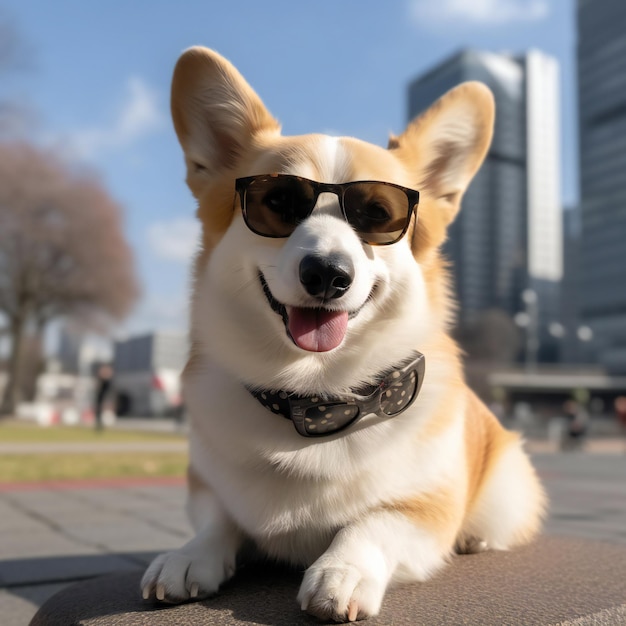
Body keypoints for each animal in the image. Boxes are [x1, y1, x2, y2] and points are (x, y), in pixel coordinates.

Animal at [140, 47, 540, 620]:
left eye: (378, 214)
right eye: (278, 203)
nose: (327, 273)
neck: (315, 397)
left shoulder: (425, 509)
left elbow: (373, 522)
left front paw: (341, 571)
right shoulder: (208, 486)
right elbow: (217, 522)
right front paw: (187, 556)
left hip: (507, 486)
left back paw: (475, 538)